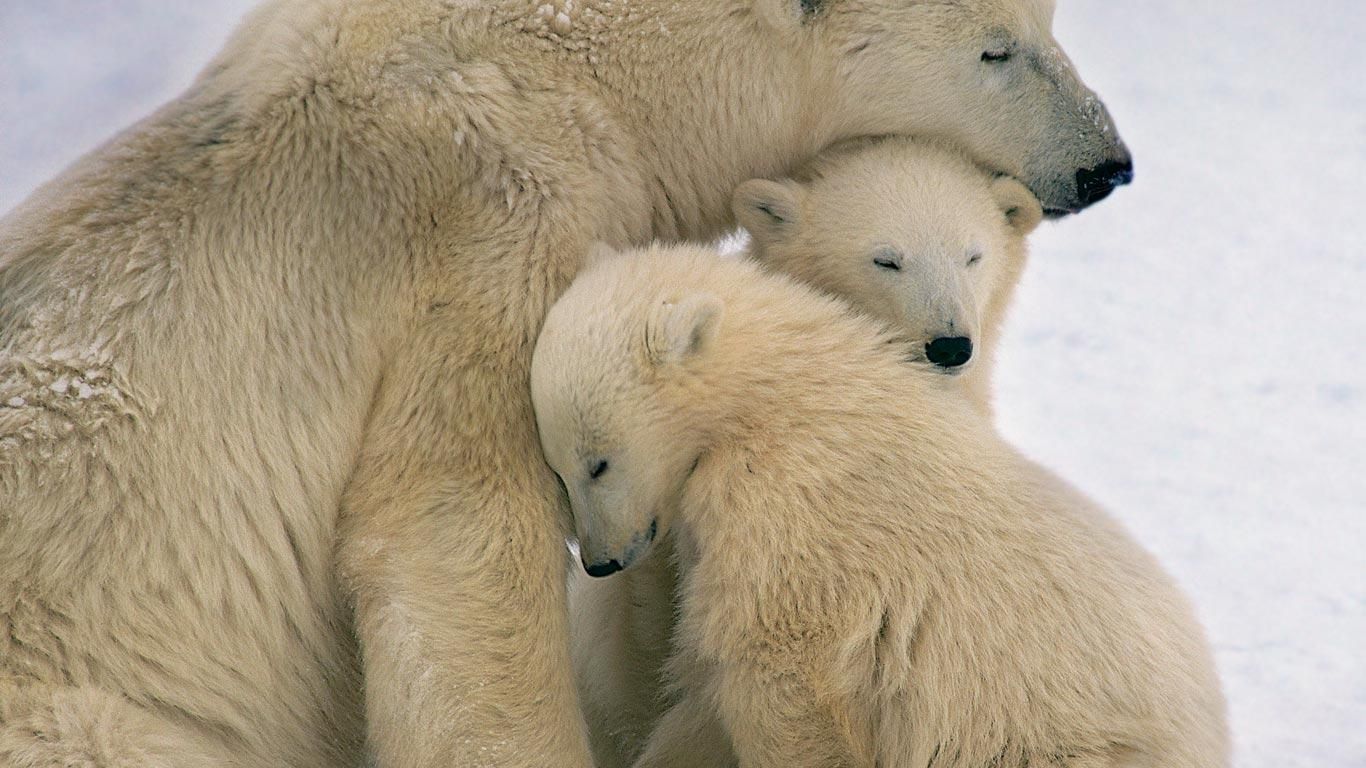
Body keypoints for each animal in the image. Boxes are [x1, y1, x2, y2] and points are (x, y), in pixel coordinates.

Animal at [534, 244, 1228, 768]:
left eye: (598, 462)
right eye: (557, 469)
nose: (599, 561)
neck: (778, 398)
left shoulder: (793, 516)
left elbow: (781, 673)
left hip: (1046, 737)